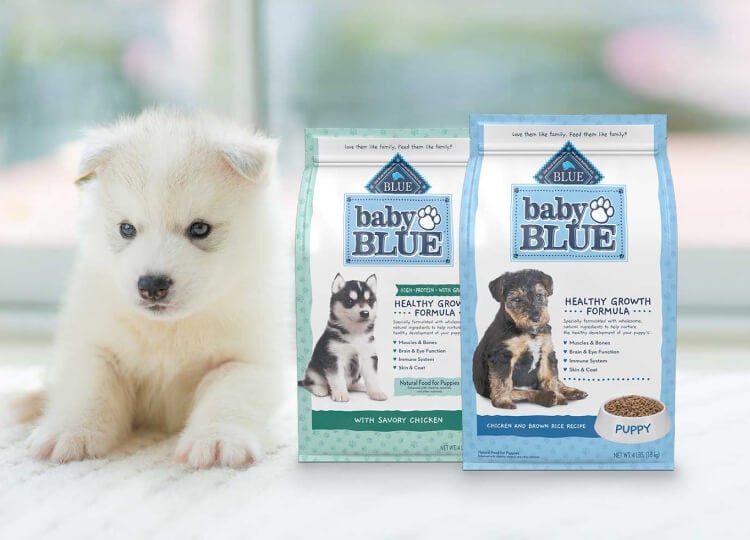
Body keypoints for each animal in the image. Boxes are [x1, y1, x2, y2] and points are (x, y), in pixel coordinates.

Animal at [24, 108, 282, 468]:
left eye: (199, 229)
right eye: (127, 229)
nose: (152, 285)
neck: (169, 330)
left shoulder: (246, 359)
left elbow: (229, 398)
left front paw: (216, 441)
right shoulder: (94, 347)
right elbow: (88, 390)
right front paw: (70, 432)